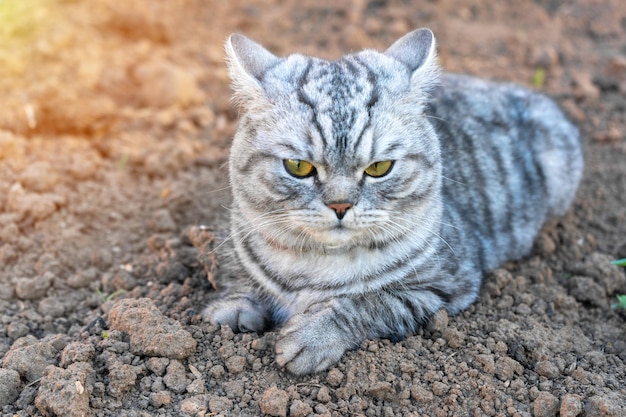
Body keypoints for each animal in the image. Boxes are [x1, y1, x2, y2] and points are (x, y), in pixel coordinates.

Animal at [202, 28, 584, 374]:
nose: (340, 205)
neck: (311, 266)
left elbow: (367, 303)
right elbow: (239, 274)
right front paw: (230, 308)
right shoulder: (238, 232)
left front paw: (313, 336)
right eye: (298, 166)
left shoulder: (441, 288)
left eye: (379, 168)